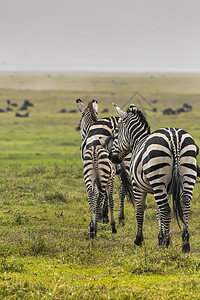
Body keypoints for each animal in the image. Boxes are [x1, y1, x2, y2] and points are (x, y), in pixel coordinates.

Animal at [109, 102, 198, 252]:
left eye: (116, 133)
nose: (111, 157)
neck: (137, 141)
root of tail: (174, 137)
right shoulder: (166, 189)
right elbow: (158, 212)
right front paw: (161, 238)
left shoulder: (137, 186)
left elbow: (140, 211)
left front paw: (140, 239)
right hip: (188, 174)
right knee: (185, 205)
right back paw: (185, 243)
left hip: (158, 178)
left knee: (166, 210)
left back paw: (167, 244)